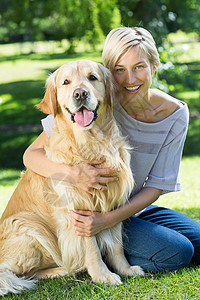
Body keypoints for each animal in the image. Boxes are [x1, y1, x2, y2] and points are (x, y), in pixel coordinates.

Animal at [0, 59, 144, 296]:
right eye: (66, 82)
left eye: (92, 77)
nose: (80, 93)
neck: (91, 143)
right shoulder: (76, 210)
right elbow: (91, 248)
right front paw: (102, 275)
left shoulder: (113, 200)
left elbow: (116, 245)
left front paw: (125, 269)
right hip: (28, 227)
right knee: (12, 272)